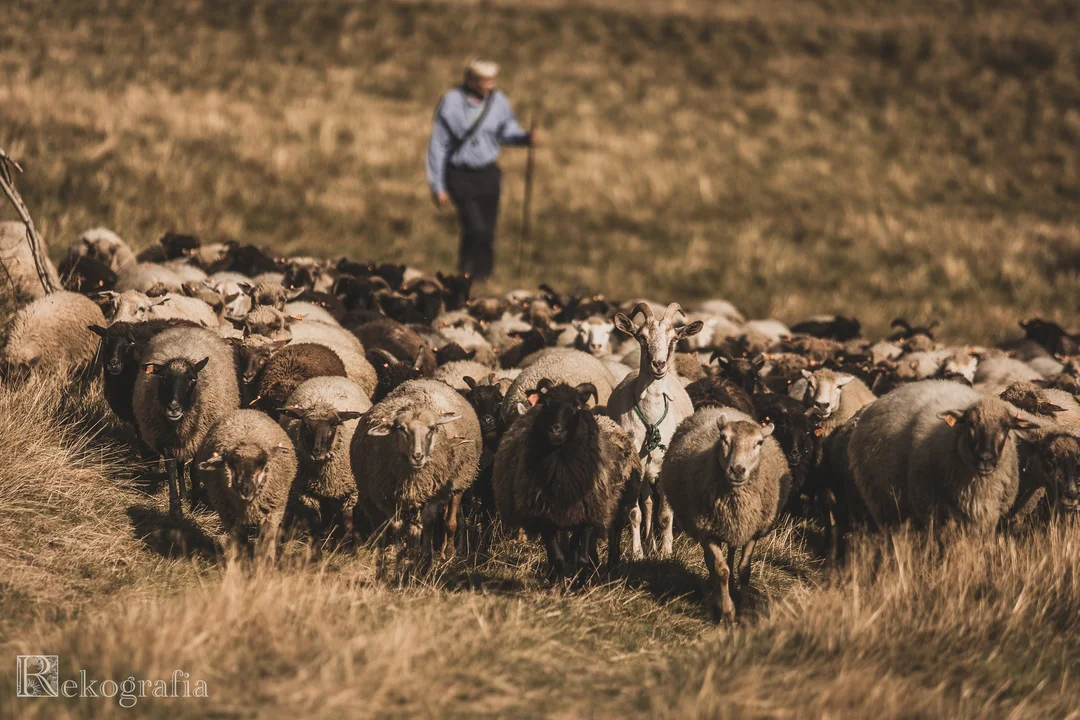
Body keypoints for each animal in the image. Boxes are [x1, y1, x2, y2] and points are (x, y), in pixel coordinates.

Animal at [133, 325, 239, 518]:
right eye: (163, 378)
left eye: (192, 379)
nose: (173, 408)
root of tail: (187, 326)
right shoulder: (165, 439)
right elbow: (172, 470)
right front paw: (175, 508)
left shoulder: (200, 438)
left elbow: (194, 471)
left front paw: (195, 505)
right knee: (180, 465)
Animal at [195, 410, 298, 561]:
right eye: (232, 464)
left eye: (263, 463)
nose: (246, 490)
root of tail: (246, 410)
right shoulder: (230, 517)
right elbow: (240, 544)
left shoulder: (273, 513)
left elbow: (266, 543)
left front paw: (264, 563)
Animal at [349, 379, 481, 561]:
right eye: (400, 428)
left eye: (432, 428)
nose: (417, 456)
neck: (413, 477)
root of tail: (427, 380)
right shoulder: (388, 497)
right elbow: (397, 526)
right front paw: (398, 553)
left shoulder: (434, 494)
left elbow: (429, 522)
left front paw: (426, 556)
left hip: (460, 480)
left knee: (449, 521)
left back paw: (448, 552)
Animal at [656, 408, 786, 621]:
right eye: (724, 438)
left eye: (759, 443)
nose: (737, 470)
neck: (736, 499)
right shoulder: (708, 531)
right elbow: (721, 569)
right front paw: (727, 611)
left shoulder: (753, 531)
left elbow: (744, 569)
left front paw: (745, 608)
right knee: (711, 563)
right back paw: (715, 594)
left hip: (733, 528)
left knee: (732, 552)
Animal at [846, 379, 1041, 533]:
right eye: (970, 424)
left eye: (1006, 428)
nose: (985, 458)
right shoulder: (934, 511)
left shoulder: (990, 514)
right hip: (884, 506)